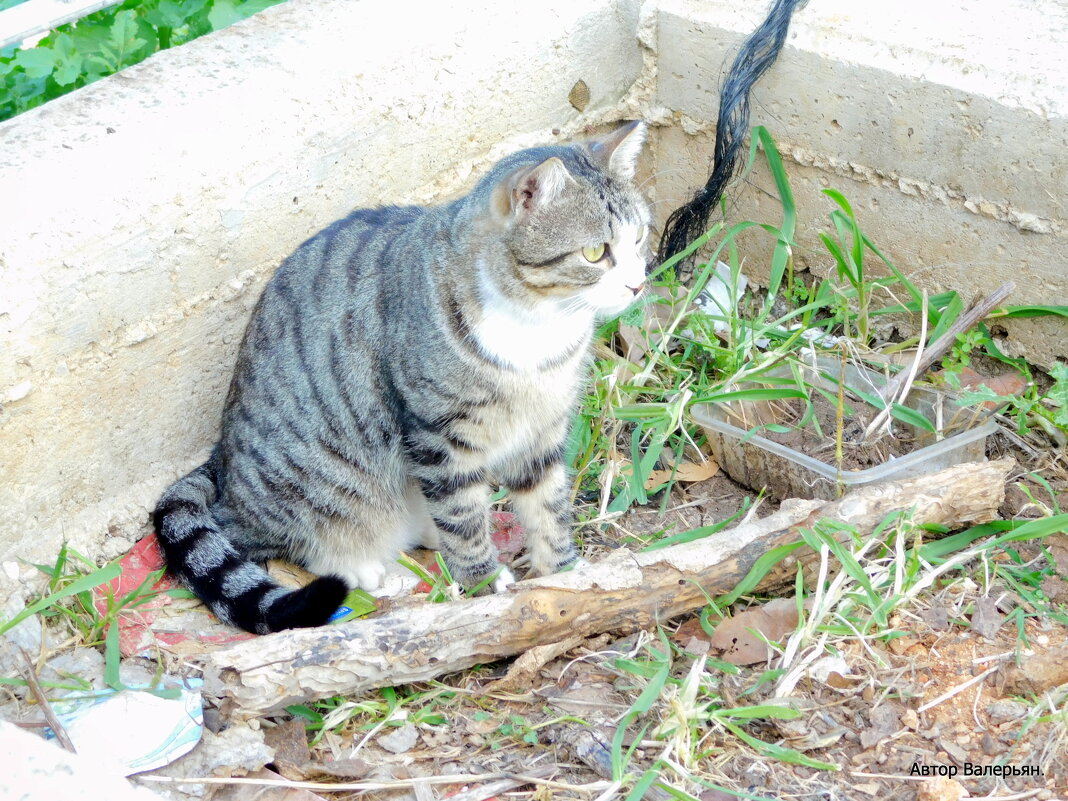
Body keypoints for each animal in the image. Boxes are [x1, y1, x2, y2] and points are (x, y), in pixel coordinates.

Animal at [153, 122, 645, 632]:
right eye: (595, 253)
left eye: (640, 239)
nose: (639, 283)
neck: (538, 328)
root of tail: (220, 459)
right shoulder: (439, 435)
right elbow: (462, 519)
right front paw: (485, 582)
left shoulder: (542, 429)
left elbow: (548, 507)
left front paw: (565, 573)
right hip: (313, 482)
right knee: (271, 537)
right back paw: (362, 566)